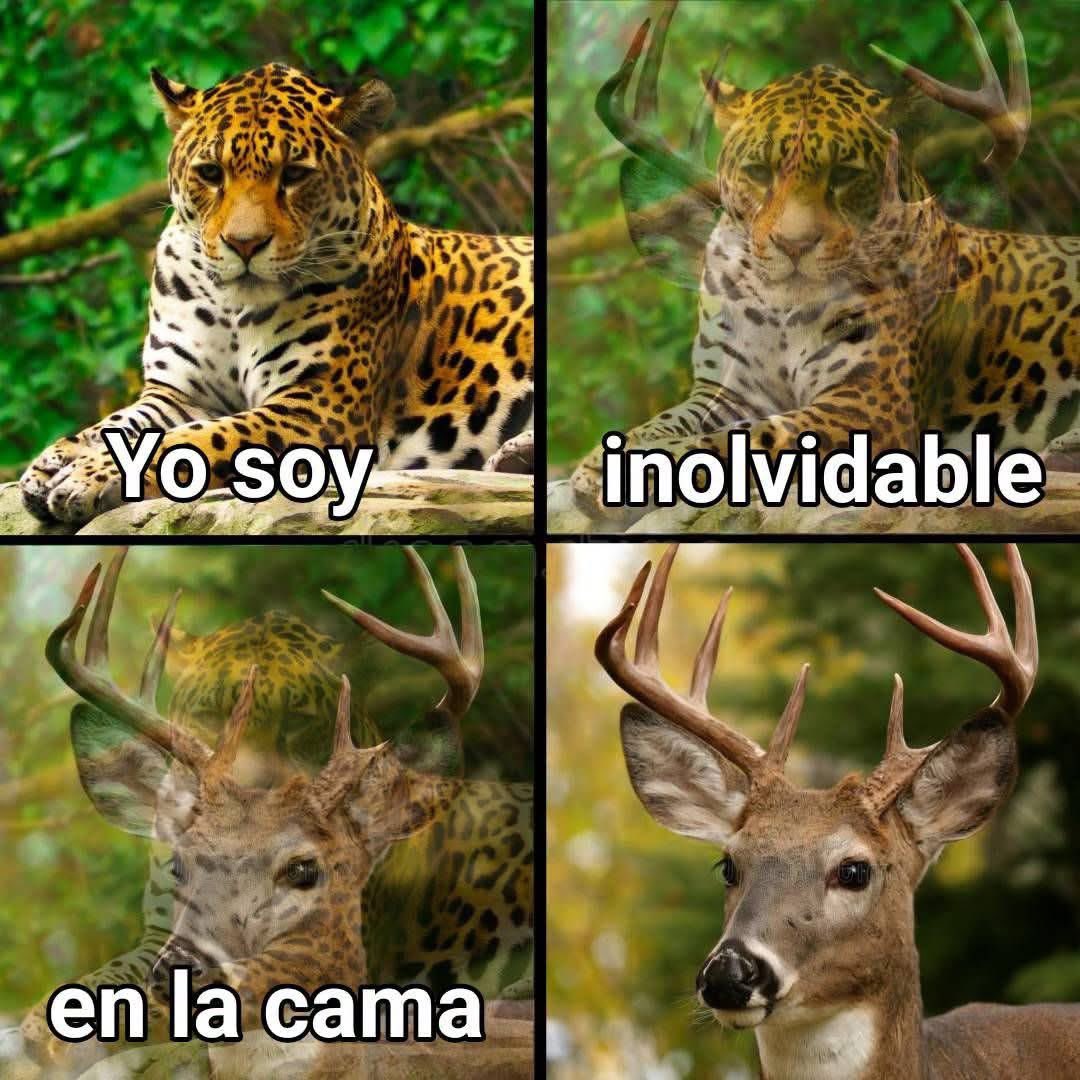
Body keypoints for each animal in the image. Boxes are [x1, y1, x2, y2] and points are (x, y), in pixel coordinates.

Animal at [20, 63, 534, 526]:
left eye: (295, 174)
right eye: (210, 173)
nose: (244, 244)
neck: (230, 306)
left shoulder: (318, 404)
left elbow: (202, 439)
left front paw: (89, 475)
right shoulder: (177, 392)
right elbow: (116, 424)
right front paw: (51, 462)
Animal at [570, 2, 1079, 524]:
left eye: (845, 174)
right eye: (759, 172)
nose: (794, 244)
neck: (780, 313)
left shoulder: (867, 402)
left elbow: (740, 440)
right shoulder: (725, 391)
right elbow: (667, 422)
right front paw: (600, 463)